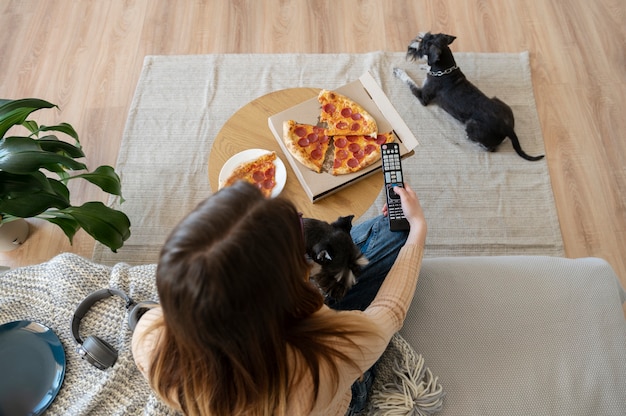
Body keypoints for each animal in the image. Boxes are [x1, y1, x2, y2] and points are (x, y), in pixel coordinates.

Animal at [394, 31, 540, 162]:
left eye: (424, 46)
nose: (412, 45)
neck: (445, 69)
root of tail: (507, 128)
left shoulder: (423, 97)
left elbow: (410, 82)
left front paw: (398, 71)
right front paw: (424, 66)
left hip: (472, 126)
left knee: (490, 148)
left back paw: (471, 140)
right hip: (498, 100)